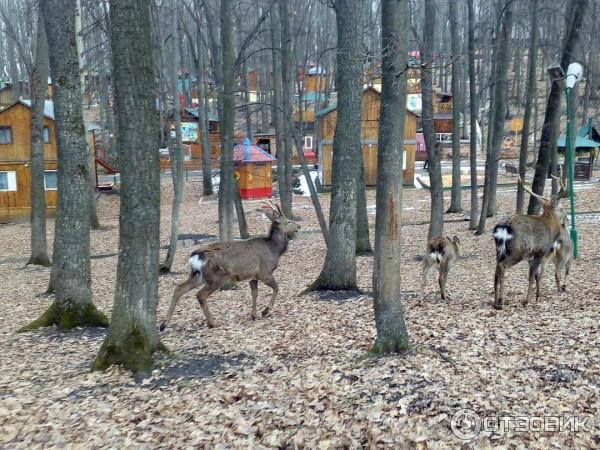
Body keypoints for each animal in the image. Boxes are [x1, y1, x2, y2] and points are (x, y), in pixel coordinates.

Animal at [159, 202, 300, 328]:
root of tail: (195, 257)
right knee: (200, 295)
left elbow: (254, 293)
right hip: (217, 275)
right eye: (288, 221)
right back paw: (213, 323)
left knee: (179, 288)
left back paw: (163, 324)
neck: (274, 249)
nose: (298, 226)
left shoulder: (253, 276)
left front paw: (253, 315)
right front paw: (265, 311)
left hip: (198, 275)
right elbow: (276, 287)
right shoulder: (265, 272)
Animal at [492, 172, 568, 310]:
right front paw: (527, 300)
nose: (567, 217)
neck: (550, 227)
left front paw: (538, 297)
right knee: (502, 267)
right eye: (562, 208)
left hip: (499, 251)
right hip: (517, 251)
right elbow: (532, 276)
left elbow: (536, 275)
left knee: (495, 271)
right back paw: (501, 301)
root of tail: (503, 228)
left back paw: (495, 302)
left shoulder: (531, 256)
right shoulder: (540, 251)